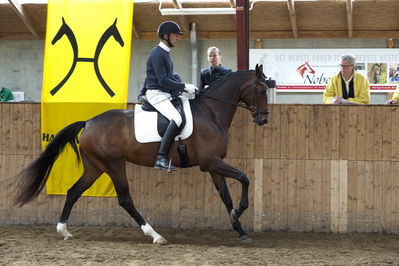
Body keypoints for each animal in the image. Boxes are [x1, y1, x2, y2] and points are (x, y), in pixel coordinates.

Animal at [15, 64, 272, 243]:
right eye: (260, 89)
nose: (263, 120)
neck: (212, 112)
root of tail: (88, 122)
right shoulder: (210, 162)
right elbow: (244, 178)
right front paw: (239, 212)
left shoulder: (213, 164)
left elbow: (226, 196)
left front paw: (240, 228)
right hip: (114, 164)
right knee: (125, 200)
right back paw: (155, 235)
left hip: (95, 167)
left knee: (73, 192)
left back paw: (64, 231)